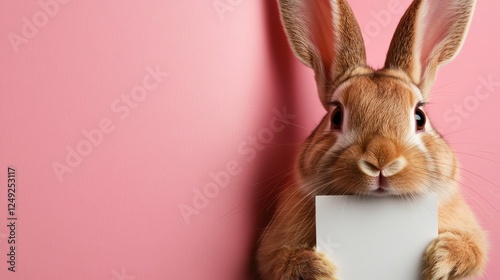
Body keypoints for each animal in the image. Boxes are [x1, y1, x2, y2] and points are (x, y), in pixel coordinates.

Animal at [258, 0, 488, 278]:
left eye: (420, 117)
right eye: (336, 116)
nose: (381, 160)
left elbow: (473, 249)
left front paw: (442, 259)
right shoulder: (272, 250)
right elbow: (278, 262)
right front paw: (317, 268)